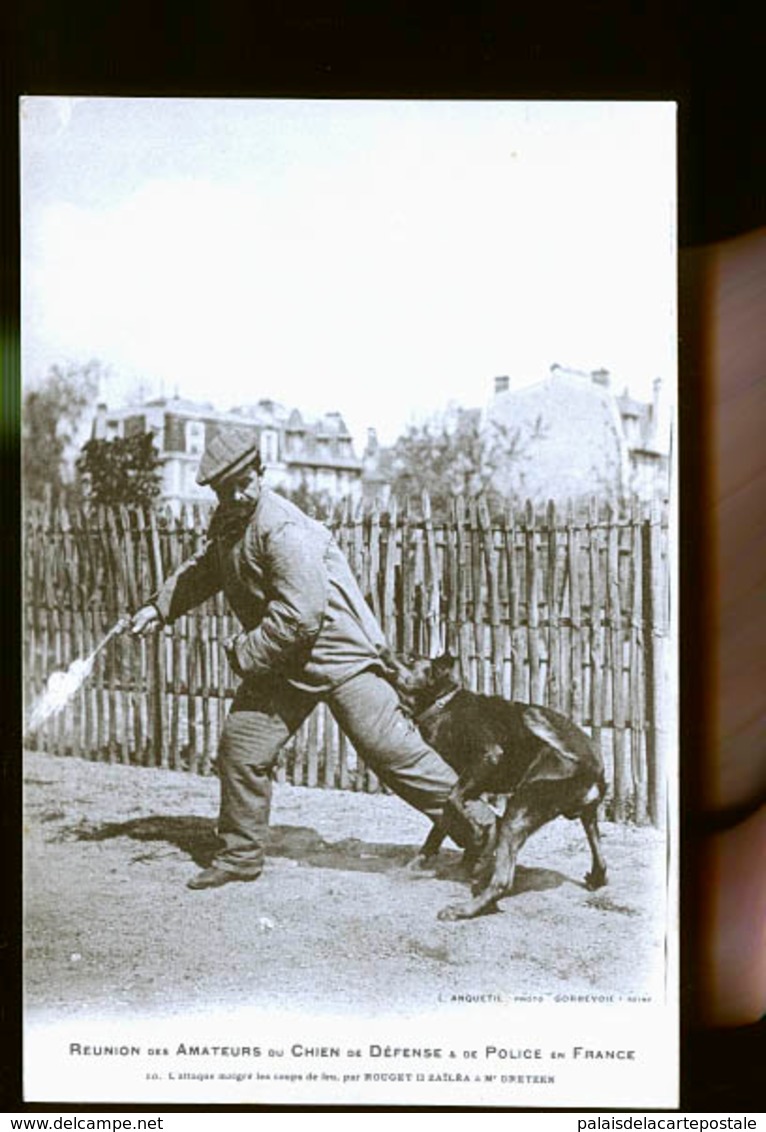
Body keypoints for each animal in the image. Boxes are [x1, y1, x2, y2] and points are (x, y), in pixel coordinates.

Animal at [384, 656, 606, 919]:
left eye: (409, 658)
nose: (382, 651)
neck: (443, 704)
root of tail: (593, 767)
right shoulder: (470, 782)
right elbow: (439, 827)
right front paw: (420, 863)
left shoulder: (487, 758)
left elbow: (452, 801)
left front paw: (478, 839)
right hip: (587, 817)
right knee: (601, 860)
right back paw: (596, 878)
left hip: (516, 814)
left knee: (502, 882)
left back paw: (463, 909)